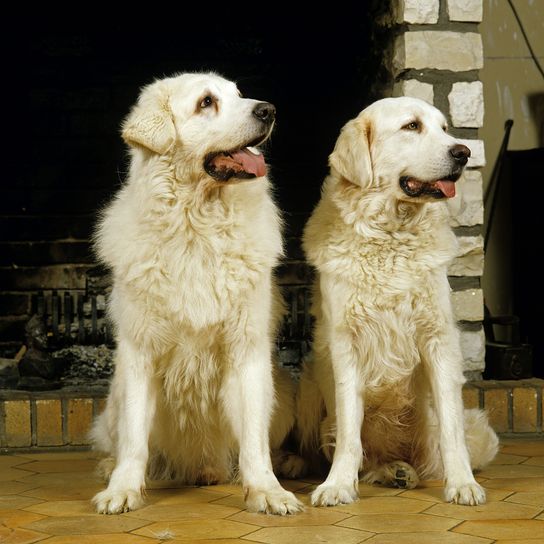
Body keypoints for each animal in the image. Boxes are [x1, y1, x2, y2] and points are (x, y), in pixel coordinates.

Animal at [92, 72, 304, 516]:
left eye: (239, 94)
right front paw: (122, 489)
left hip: (283, 390)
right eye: (207, 102)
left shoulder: (247, 351)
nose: (269, 110)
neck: (197, 225)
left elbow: (254, 442)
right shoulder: (139, 353)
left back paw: (286, 463)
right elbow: (134, 440)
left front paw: (267, 491)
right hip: (113, 399)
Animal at [298, 99, 498, 510]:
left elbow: (452, 428)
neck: (391, 234)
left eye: (444, 128)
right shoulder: (345, 344)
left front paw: (462, 483)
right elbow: (349, 433)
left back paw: (399, 471)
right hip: (307, 388)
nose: (463, 152)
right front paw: (337, 485)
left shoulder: (439, 340)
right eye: (412, 126)